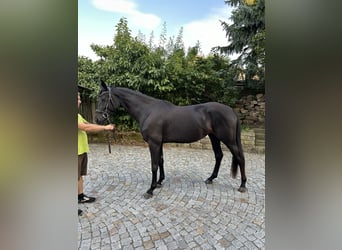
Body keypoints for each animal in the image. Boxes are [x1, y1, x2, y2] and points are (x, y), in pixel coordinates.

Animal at [95, 81, 247, 198]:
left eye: (104, 99)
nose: (98, 119)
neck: (148, 110)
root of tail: (231, 111)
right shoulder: (159, 143)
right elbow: (161, 161)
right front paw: (159, 182)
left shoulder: (154, 143)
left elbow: (154, 165)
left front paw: (150, 190)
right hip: (214, 137)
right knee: (219, 155)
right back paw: (210, 178)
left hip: (229, 140)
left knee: (240, 158)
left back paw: (243, 185)